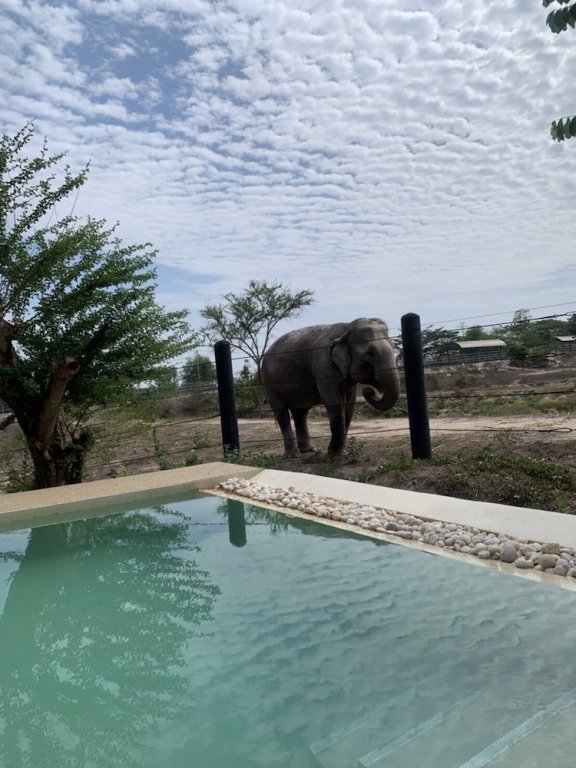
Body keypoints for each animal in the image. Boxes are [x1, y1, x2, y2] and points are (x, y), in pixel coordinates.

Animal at [260, 318, 400, 458]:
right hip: (269, 382)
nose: (370, 391)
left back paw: (309, 450)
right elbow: (334, 403)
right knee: (282, 412)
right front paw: (339, 455)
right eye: (370, 353)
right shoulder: (324, 367)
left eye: (394, 347)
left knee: (300, 412)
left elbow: (349, 407)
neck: (347, 328)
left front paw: (335, 452)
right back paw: (293, 455)